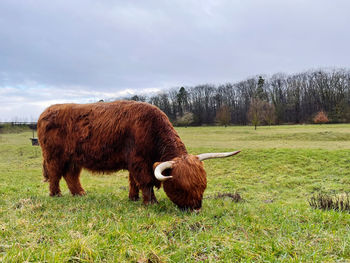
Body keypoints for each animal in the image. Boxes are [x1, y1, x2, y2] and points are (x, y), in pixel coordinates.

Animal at [38, 100, 241, 210]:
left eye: (203, 185)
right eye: (180, 187)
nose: (196, 208)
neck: (152, 129)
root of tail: (45, 112)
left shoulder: (134, 162)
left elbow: (133, 181)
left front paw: (133, 198)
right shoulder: (139, 161)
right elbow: (146, 181)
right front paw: (151, 202)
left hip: (74, 159)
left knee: (71, 175)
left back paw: (80, 193)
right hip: (54, 156)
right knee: (55, 175)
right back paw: (56, 195)